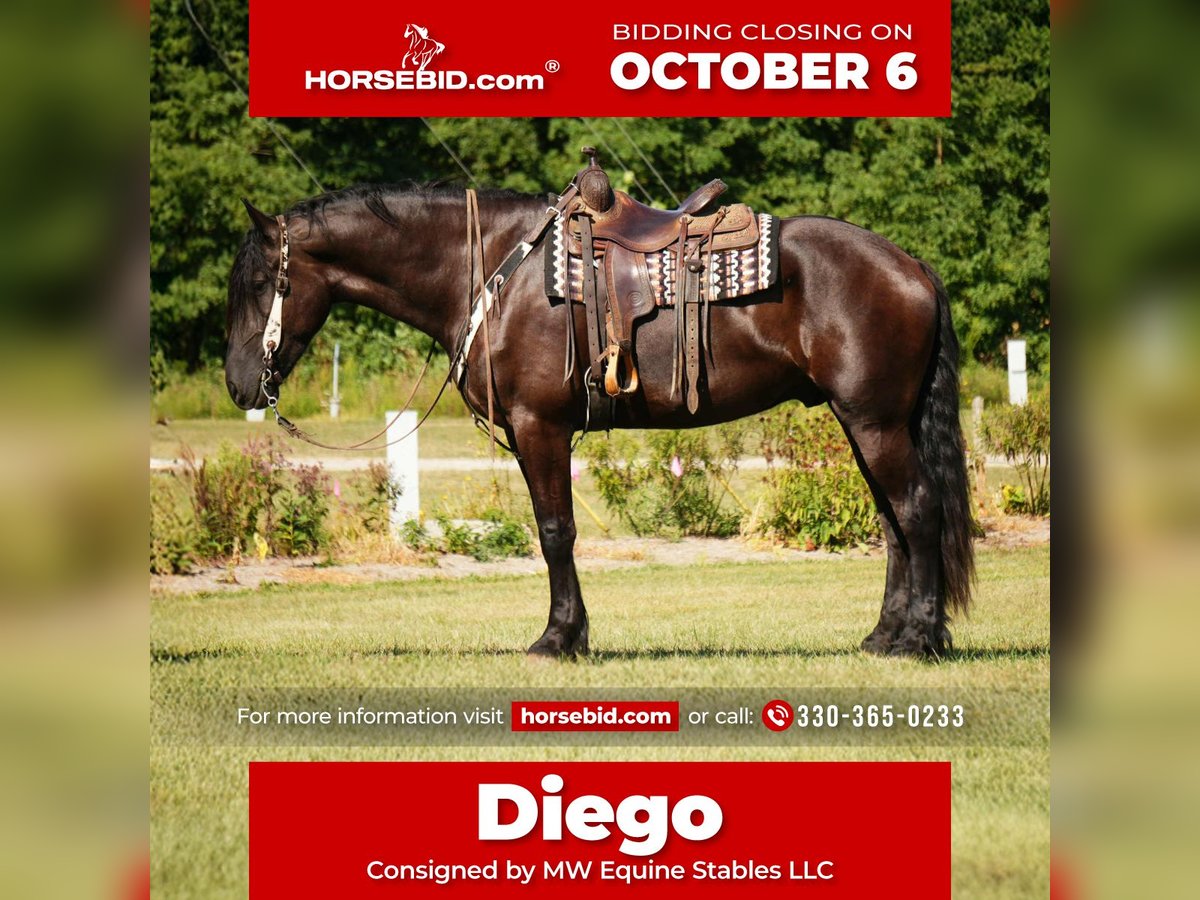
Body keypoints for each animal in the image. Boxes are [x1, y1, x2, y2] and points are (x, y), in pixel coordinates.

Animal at [224, 180, 975, 659]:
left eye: (260, 283)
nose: (238, 386)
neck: (488, 269)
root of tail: (910, 263)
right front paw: (571, 634)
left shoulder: (540, 427)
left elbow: (556, 532)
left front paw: (559, 639)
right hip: (865, 423)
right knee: (893, 523)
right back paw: (884, 636)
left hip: (875, 422)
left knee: (917, 509)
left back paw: (919, 639)